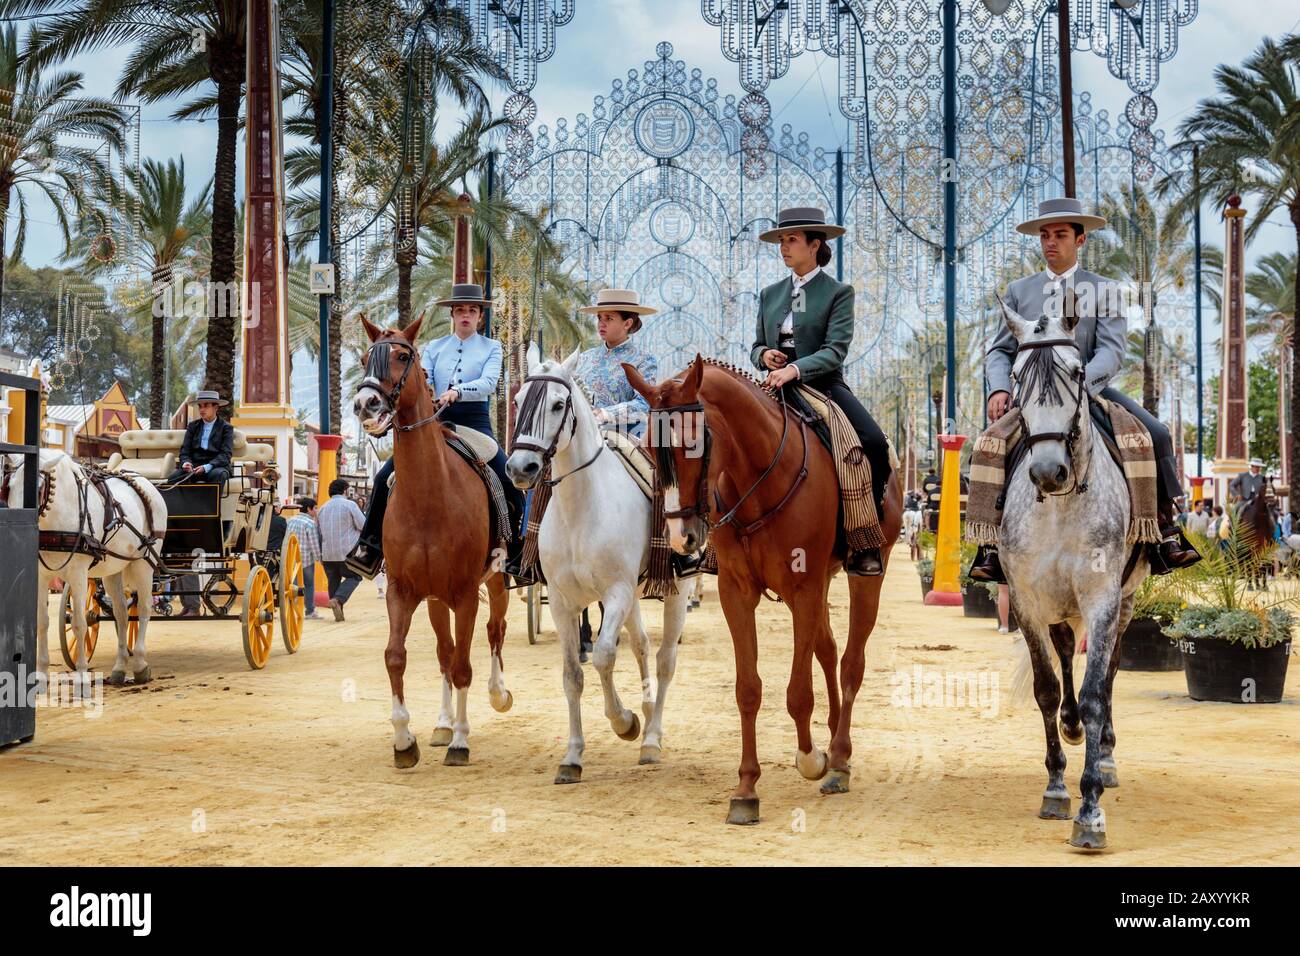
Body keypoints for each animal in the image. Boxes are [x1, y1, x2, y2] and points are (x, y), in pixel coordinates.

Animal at [5, 447, 167, 686]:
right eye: (8, 487)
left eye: (38, 489)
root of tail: (145, 481)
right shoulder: (42, 576)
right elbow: (42, 622)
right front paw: (41, 675)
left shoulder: (78, 574)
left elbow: (80, 623)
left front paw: (81, 675)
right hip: (113, 569)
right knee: (121, 613)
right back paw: (119, 668)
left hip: (144, 563)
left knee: (144, 608)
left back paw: (139, 665)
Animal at [358, 316, 514, 770]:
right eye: (365, 357)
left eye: (402, 355)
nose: (365, 404)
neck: (429, 495)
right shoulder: (402, 591)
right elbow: (397, 657)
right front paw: (403, 740)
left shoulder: (464, 593)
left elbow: (464, 665)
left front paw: (461, 741)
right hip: (434, 599)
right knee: (445, 652)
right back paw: (443, 724)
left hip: (494, 583)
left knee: (495, 630)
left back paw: (497, 695)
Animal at [504, 348, 696, 780]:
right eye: (518, 400)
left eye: (559, 404)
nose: (521, 468)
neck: (581, 508)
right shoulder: (562, 602)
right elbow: (572, 674)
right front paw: (573, 756)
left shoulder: (616, 592)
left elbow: (605, 656)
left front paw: (624, 722)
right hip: (634, 597)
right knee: (642, 646)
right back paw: (645, 709)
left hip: (676, 591)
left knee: (665, 660)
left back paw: (651, 737)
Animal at [624, 356, 899, 822]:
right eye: (648, 443)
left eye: (696, 442)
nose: (682, 537)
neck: (762, 478)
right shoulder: (739, 593)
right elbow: (748, 689)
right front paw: (746, 790)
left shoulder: (803, 589)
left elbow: (798, 693)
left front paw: (810, 759)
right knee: (827, 651)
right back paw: (831, 740)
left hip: (866, 575)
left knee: (850, 663)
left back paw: (838, 760)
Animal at [993, 300, 1149, 853]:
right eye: (1017, 377)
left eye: (1079, 372)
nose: (1047, 472)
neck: (1060, 507)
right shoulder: (1025, 601)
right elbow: (1045, 685)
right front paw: (1057, 788)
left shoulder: (1102, 599)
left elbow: (1096, 691)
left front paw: (1090, 810)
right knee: (1063, 654)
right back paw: (1072, 726)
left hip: (1126, 600)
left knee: (1113, 668)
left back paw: (1104, 752)